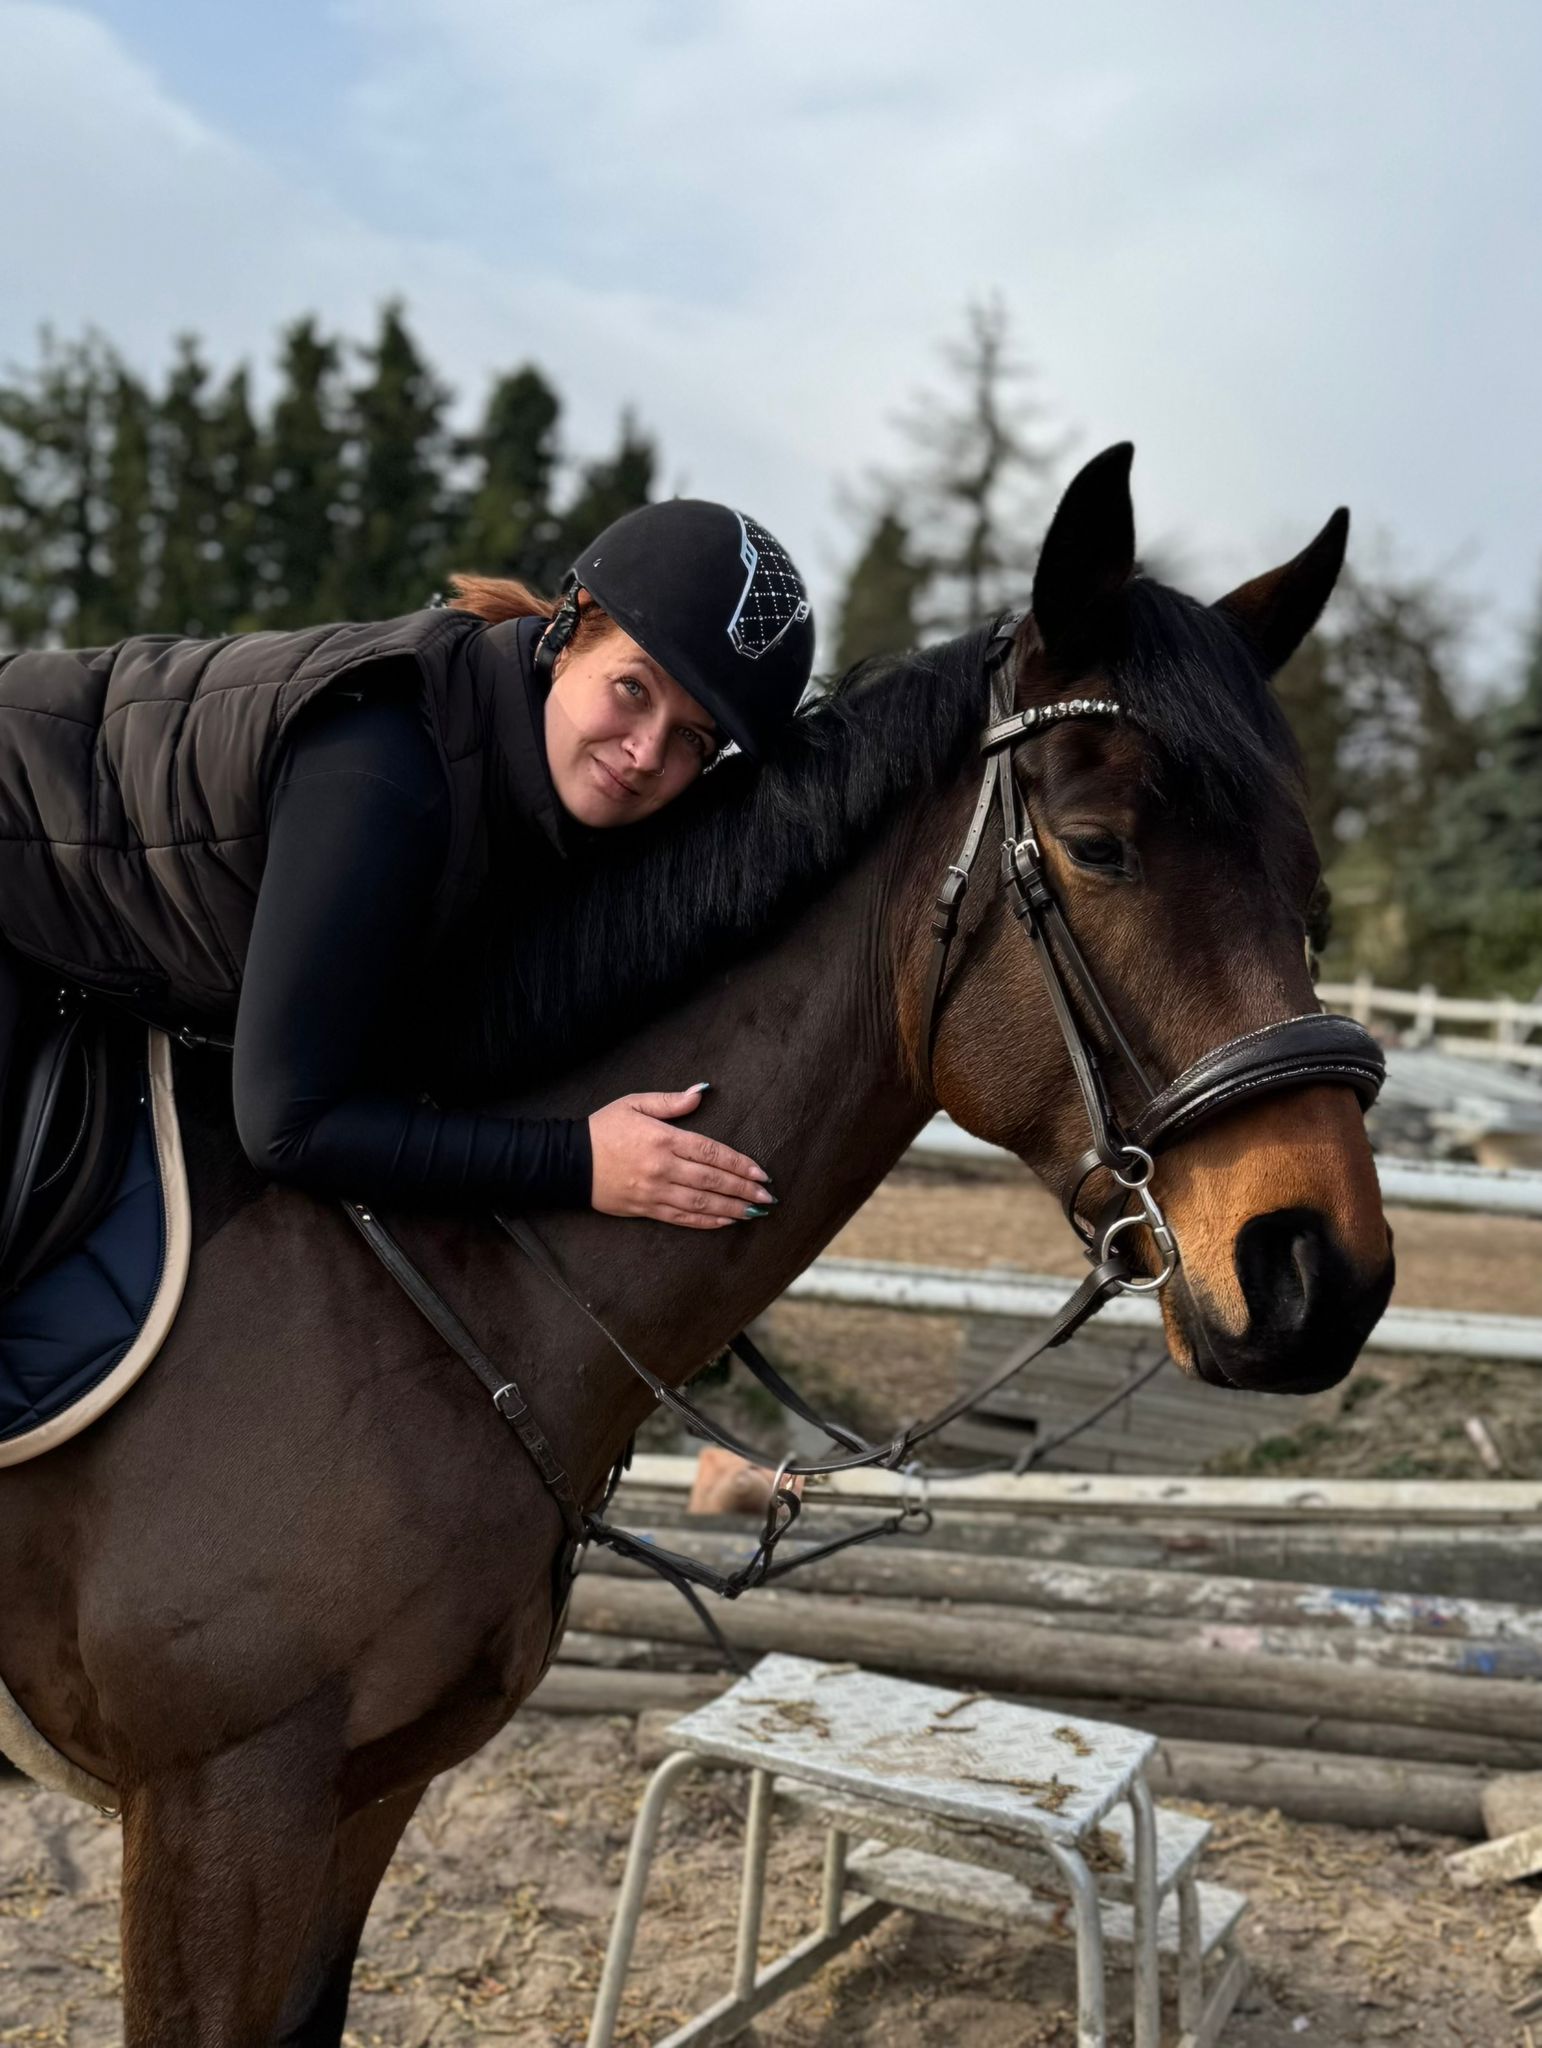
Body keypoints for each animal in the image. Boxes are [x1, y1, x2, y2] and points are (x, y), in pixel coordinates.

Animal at [0, 446, 1393, 2045]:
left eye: (1310, 887)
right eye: (1098, 849)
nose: (1322, 1276)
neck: (426, 1284)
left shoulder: (363, 1794)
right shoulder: (220, 1807)